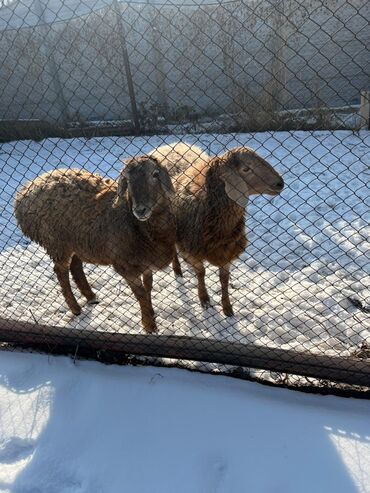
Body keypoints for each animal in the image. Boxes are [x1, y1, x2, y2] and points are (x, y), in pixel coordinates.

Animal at [149, 142, 284, 318]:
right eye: (246, 169)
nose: (280, 183)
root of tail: (169, 145)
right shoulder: (192, 250)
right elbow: (201, 273)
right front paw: (204, 299)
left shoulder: (226, 249)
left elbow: (224, 279)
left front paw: (227, 308)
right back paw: (177, 270)